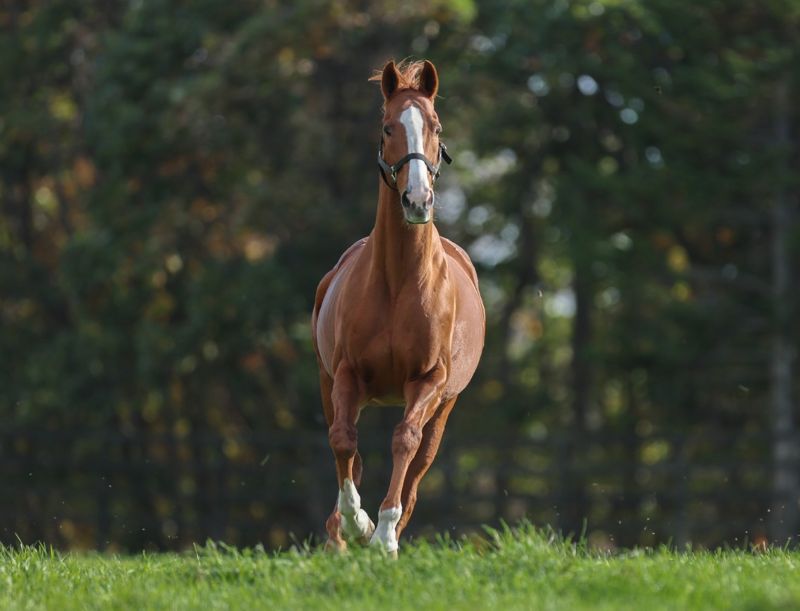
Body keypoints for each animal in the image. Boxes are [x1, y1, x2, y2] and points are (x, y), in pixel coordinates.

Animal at [311, 60, 485, 556]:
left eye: (436, 127)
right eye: (388, 127)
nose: (417, 201)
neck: (399, 282)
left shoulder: (427, 380)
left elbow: (404, 442)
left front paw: (384, 533)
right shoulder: (347, 374)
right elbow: (343, 441)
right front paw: (357, 524)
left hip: (443, 405)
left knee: (419, 463)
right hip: (330, 382)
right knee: (347, 449)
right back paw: (339, 535)